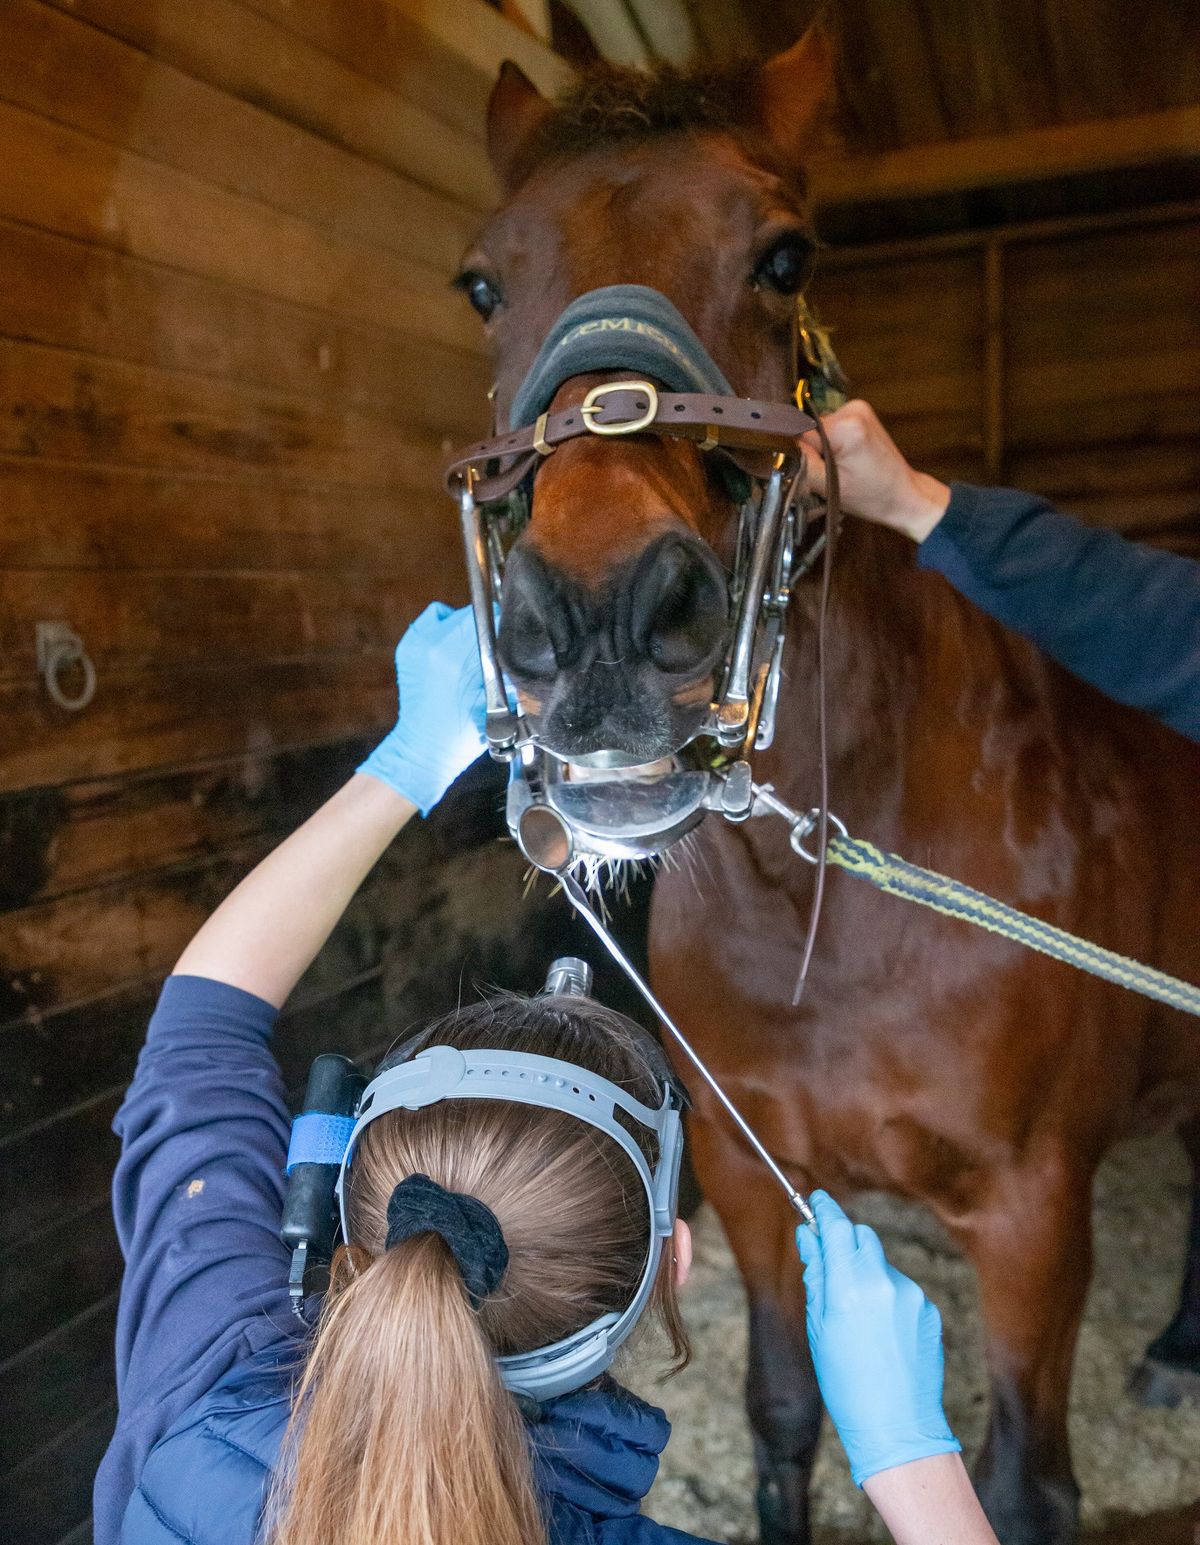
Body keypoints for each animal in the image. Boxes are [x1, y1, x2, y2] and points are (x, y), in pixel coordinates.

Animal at [460, 33, 1198, 1545]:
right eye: (485, 283)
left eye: (787, 256)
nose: (599, 621)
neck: (831, 910)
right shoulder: (754, 1181)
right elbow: (786, 1413)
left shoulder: (1035, 1215)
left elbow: (1023, 1483)